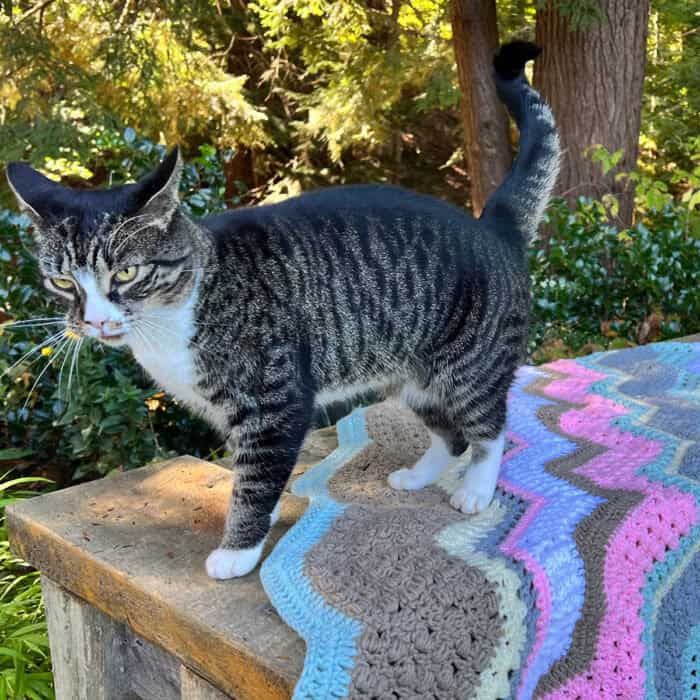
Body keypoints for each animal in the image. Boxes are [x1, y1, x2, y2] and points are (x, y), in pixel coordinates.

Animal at [6, 42, 556, 580]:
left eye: (125, 273)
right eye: (61, 282)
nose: (96, 321)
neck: (180, 310)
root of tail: (492, 224)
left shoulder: (275, 401)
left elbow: (255, 479)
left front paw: (238, 550)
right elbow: (253, 474)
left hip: (468, 365)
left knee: (489, 426)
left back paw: (476, 489)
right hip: (415, 376)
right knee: (451, 433)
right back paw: (419, 476)